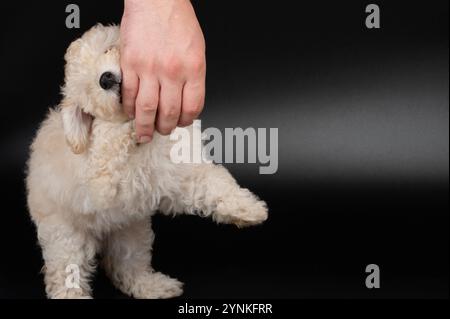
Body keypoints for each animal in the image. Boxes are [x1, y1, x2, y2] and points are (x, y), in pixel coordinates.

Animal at [25, 24, 268, 300]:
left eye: (108, 49)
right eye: (89, 89)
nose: (105, 79)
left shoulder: (178, 170)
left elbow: (212, 184)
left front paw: (247, 209)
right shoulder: (103, 178)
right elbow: (111, 141)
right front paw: (129, 125)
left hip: (130, 230)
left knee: (127, 263)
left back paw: (152, 285)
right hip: (64, 232)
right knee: (66, 268)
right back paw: (72, 294)